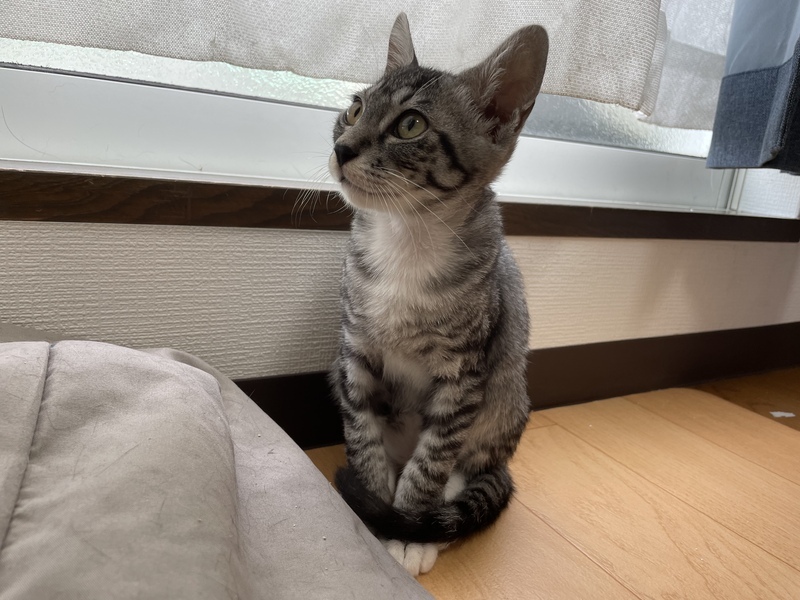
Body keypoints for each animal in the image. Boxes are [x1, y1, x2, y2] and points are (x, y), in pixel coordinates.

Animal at [328, 13, 548, 576]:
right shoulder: (354, 355)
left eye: (410, 125)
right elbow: (362, 438)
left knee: (471, 462)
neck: (406, 242)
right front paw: (372, 507)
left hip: (505, 397)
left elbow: (433, 458)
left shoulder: (464, 374)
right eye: (354, 108)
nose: (341, 147)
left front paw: (407, 526)